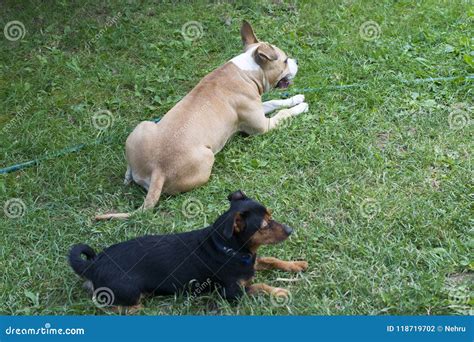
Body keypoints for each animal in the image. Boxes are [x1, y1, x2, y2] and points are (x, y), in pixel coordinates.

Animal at [69, 191, 308, 308]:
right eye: (264, 225)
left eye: (270, 216)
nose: (290, 229)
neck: (228, 248)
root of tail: (93, 265)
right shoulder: (231, 293)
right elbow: (260, 285)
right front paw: (279, 291)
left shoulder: (252, 261)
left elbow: (271, 259)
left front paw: (296, 264)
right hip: (129, 291)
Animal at [96, 20, 310, 219]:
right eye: (285, 61)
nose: (298, 60)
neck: (247, 71)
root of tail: (158, 170)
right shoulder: (262, 126)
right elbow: (283, 114)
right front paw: (301, 106)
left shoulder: (259, 109)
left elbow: (275, 102)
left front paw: (296, 98)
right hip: (208, 157)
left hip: (144, 126)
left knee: (130, 168)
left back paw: (128, 176)